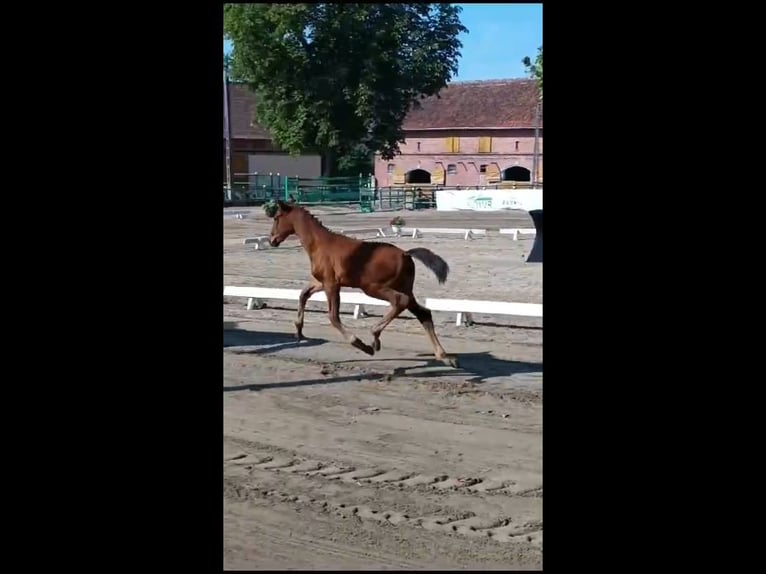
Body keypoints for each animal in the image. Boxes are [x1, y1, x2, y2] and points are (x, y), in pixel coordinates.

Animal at [268, 200, 456, 366]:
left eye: (276, 217)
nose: (272, 240)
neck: (319, 244)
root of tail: (405, 254)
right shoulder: (321, 282)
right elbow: (303, 294)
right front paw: (299, 331)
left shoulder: (331, 284)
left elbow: (333, 317)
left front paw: (360, 344)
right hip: (404, 289)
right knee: (424, 314)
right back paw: (444, 357)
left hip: (373, 288)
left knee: (399, 301)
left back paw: (374, 338)